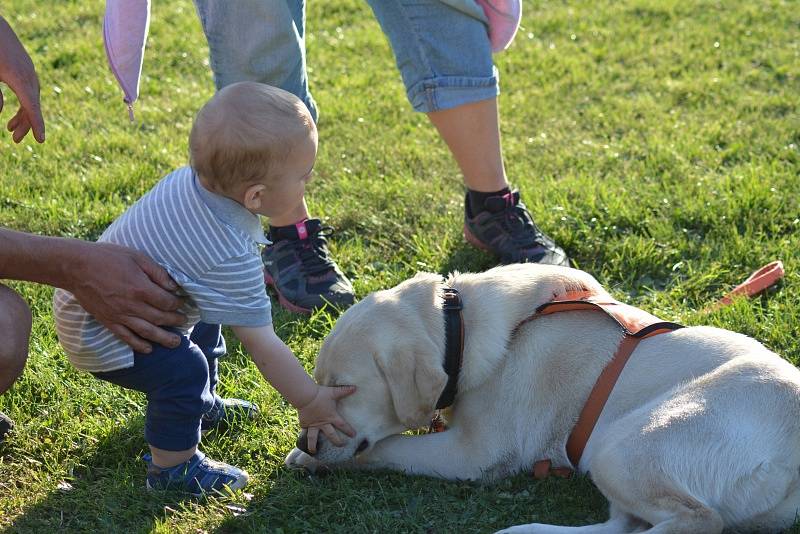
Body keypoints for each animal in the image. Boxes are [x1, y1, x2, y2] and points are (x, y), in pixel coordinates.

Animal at [284, 264, 800, 534]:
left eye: (345, 388)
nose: (309, 442)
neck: (461, 326)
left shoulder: (474, 454)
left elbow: (385, 449)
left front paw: (312, 460)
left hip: (625, 444)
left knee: (697, 520)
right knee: (624, 526)